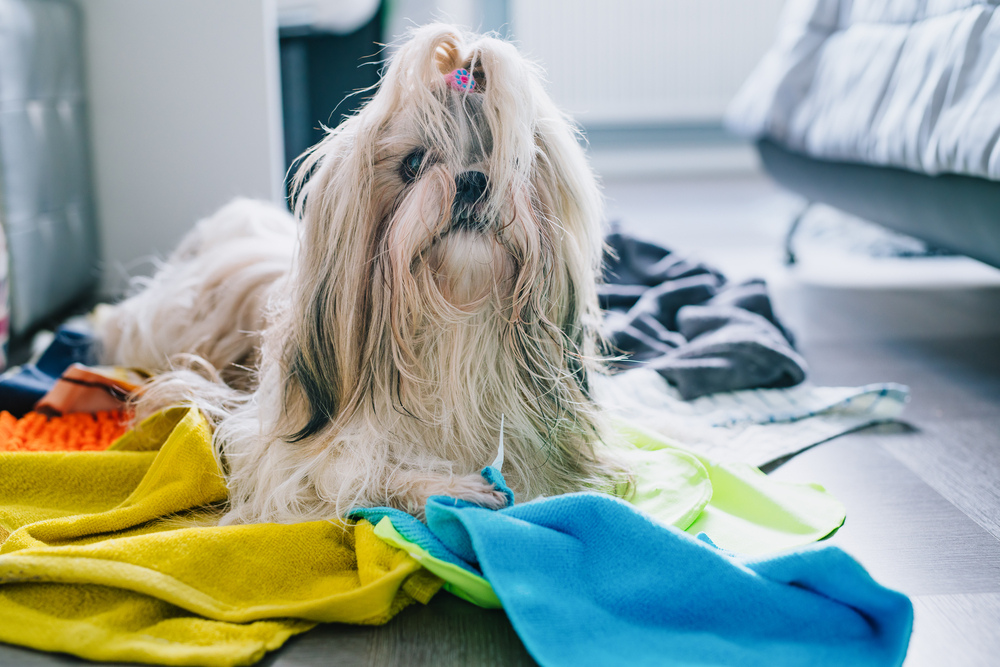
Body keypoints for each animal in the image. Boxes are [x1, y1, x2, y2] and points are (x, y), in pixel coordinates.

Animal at [95, 24, 624, 528]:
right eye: (414, 163)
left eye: (512, 161)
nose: (474, 179)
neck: (451, 333)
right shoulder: (280, 457)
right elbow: (356, 470)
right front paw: (451, 488)